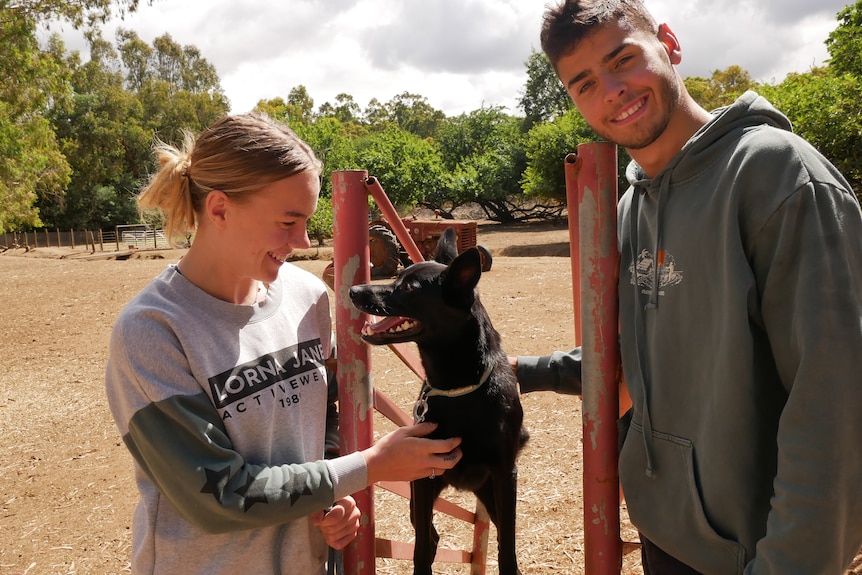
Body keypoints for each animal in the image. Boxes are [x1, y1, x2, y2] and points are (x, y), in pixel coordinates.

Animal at [350, 228, 528, 575]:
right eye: (398, 276)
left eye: (408, 287)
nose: (353, 290)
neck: (458, 388)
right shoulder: (421, 473)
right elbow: (420, 546)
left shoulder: (505, 474)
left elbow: (508, 546)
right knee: (429, 535)